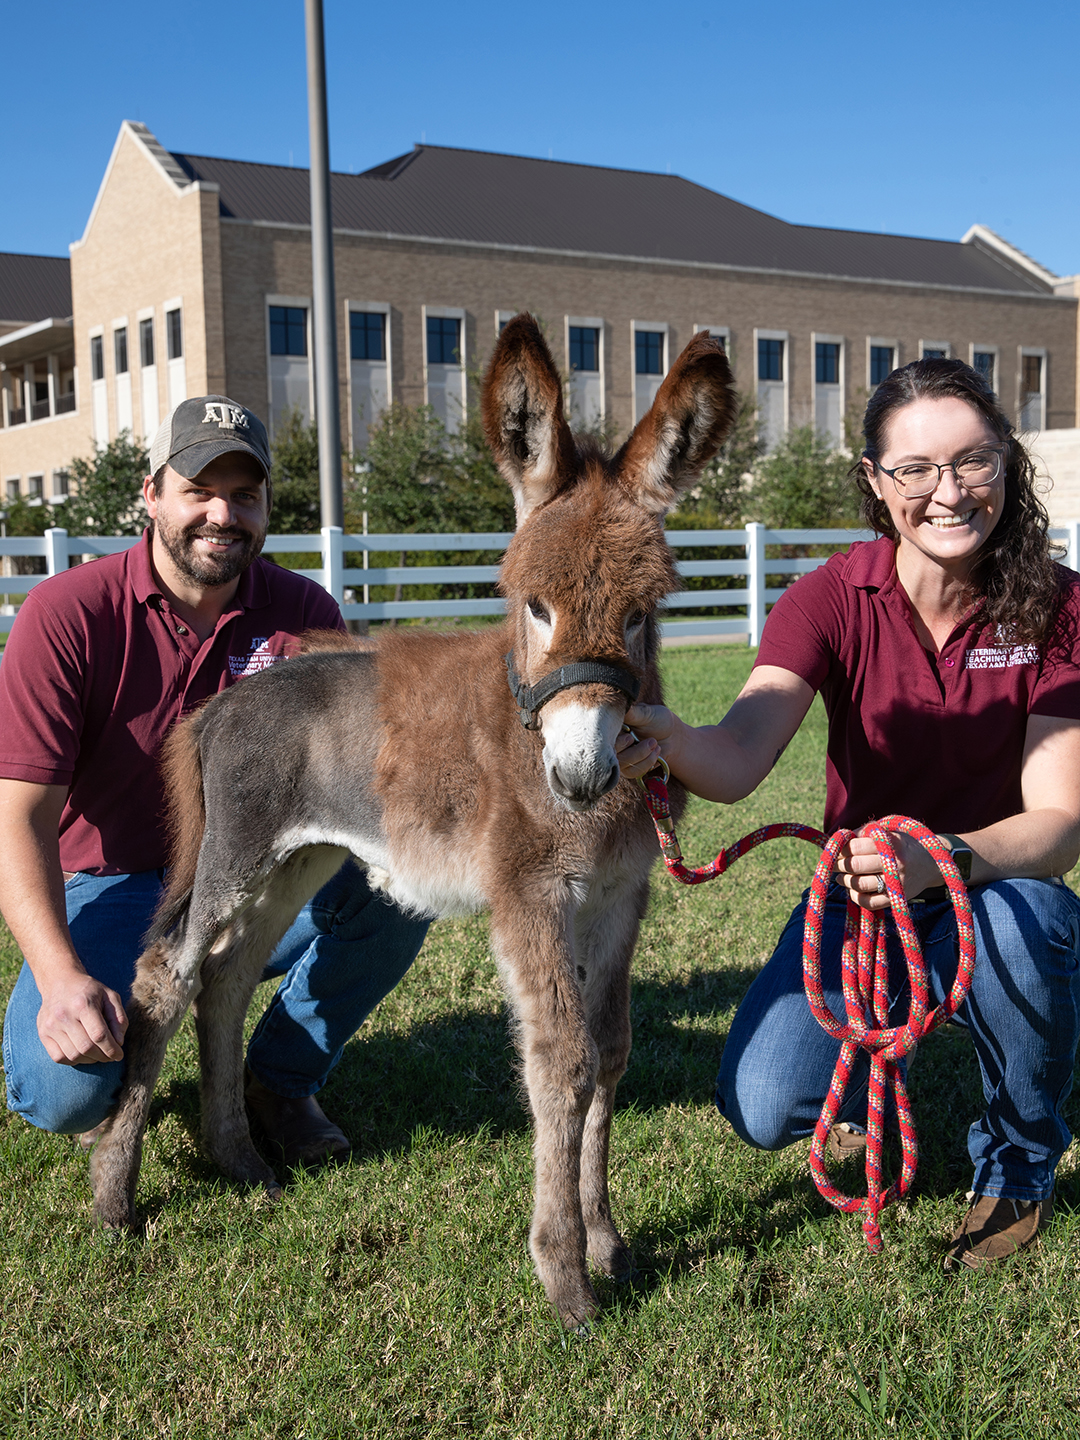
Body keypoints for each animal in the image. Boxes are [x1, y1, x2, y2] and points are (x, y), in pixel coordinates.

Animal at [91, 315, 737, 1324]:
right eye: (533, 605)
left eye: (643, 614)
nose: (581, 775)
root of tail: (219, 705)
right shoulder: (530, 897)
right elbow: (563, 1062)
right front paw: (566, 1279)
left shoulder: (617, 900)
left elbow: (613, 1053)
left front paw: (610, 1243)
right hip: (238, 851)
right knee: (168, 974)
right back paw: (115, 1198)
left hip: (299, 860)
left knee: (226, 980)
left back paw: (239, 1160)